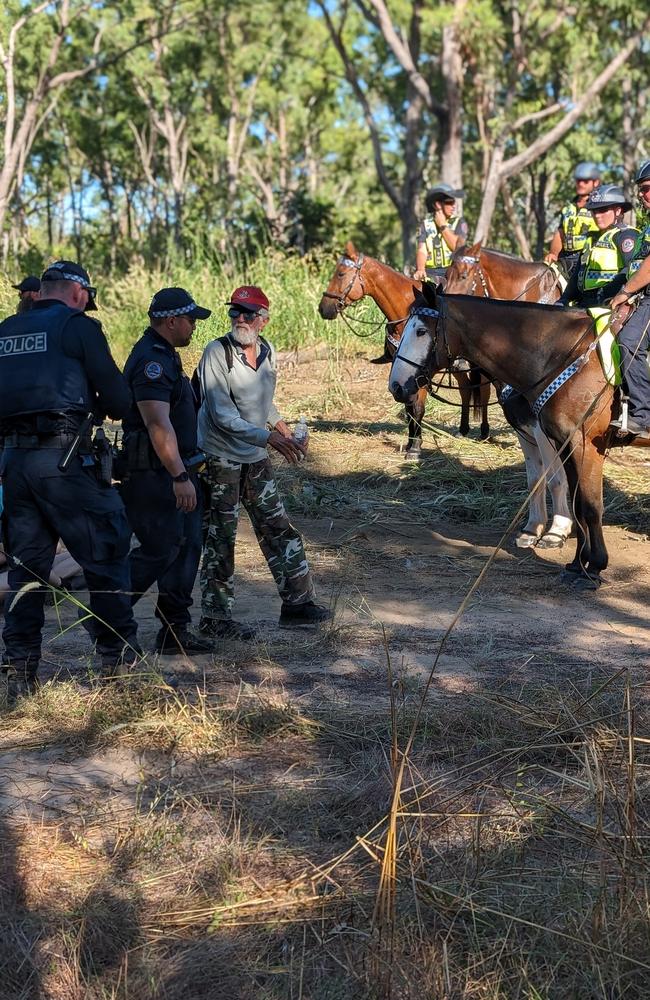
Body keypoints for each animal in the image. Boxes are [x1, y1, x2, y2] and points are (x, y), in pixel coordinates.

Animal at [316, 242, 488, 460]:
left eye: (340, 273)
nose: (323, 308)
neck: (405, 313)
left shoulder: (420, 372)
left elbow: (418, 407)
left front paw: (415, 448)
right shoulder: (402, 370)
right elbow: (408, 408)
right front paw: (410, 442)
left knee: (485, 390)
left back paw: (484, 431)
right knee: (466, 389)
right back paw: (463, 429)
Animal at [390, 282, 644, 588]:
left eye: (420, 331)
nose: (397, 386)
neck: (565, 357)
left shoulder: (582, 444)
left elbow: (587, 502)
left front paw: (592, 564)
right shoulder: (561, 442)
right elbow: (569, 496)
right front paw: (575, 563)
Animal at [442, 246, 568, 552]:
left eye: (464, 275)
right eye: (445, 275)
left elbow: (556, 479)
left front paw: (556, 530)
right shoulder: (526, 427)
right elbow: (536, 478)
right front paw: (534, 529)